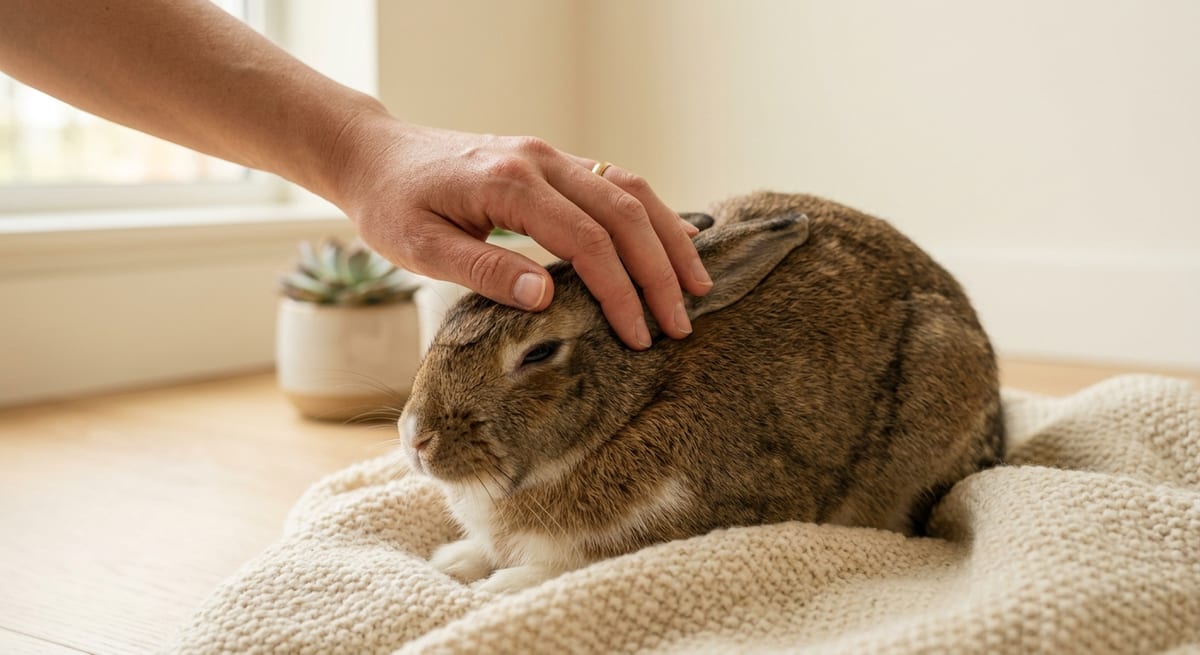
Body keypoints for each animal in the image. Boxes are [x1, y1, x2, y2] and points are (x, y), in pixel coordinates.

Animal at [399, 191, 1005, 594]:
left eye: (540, 353)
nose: (415, 439)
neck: (640, 401)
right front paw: (453, 562)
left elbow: (578, 565)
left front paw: (497, 587)